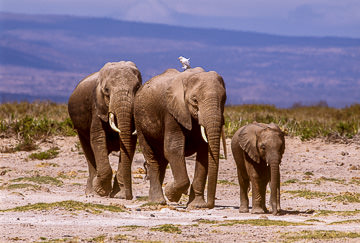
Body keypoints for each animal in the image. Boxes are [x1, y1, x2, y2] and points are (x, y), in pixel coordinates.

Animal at [68, 61, 141, 199]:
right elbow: (98, 139)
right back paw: (91, 193)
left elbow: (131, 142)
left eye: (138, 87)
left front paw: (119, 195)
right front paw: (101, 191)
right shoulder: (96, 107)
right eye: (106, 91)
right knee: (88, 152)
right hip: (80, 129)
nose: (129, 196)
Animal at [134, 67, 226, 208]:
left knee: (162, 161)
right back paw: (158, 201)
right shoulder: (171, 113)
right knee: (152, 157)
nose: (208, 205)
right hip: (139, 122)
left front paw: (197, 206)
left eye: (224, 99)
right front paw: (171, 194)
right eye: (195, 101)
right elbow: (173, 149)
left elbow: (204, 154)